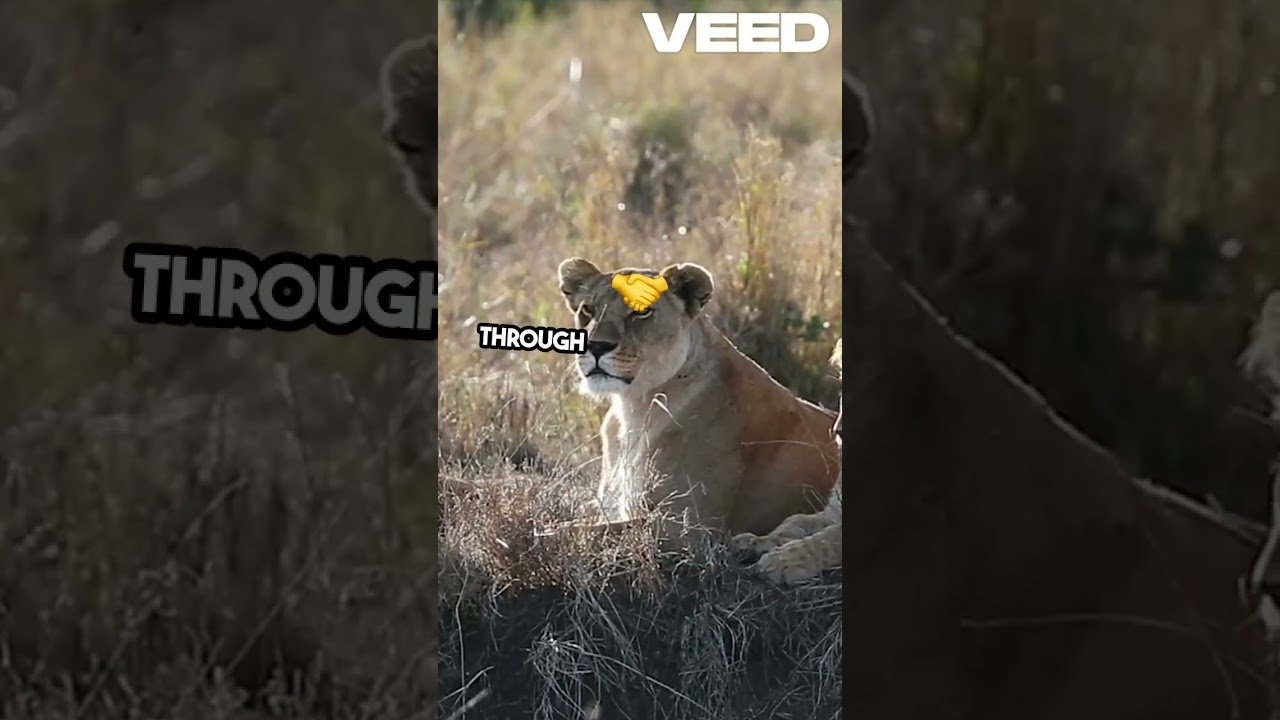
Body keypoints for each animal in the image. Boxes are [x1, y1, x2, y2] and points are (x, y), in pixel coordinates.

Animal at [556, 257, 841, 547]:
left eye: (641, 312)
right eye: (588, 309)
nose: (594, 346)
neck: (633, 405)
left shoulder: (687, 529)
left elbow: (577, 531)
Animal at [731, 338, 843, 584]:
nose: (838, 431)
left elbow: (829, 539)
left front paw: (784, 561)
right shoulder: (833, 511)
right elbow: (795, 520)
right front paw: (756, 542)